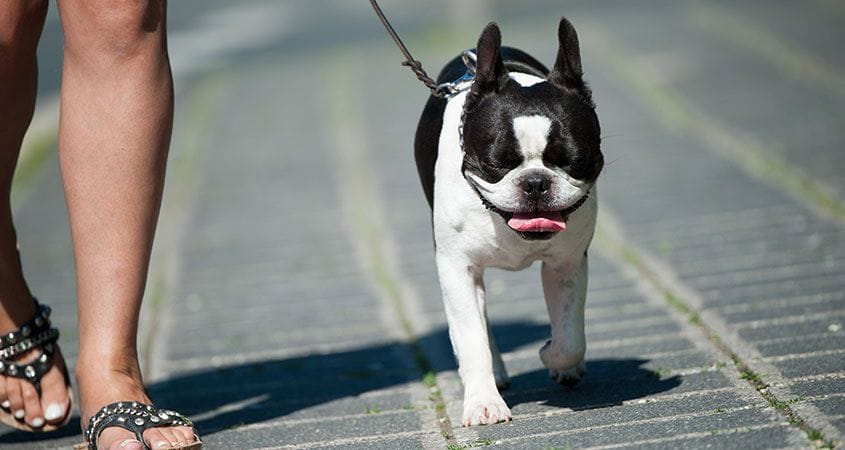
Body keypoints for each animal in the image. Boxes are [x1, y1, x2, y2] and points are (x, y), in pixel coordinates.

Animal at [414, 17, 600, 426]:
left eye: (573, 160)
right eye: (496, 163)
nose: (535, 182)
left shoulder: (567, 263)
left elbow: (570, 335)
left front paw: (553, 356)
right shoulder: (457, 270)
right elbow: (472, 340)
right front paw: (483, 402)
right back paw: (495, 375)